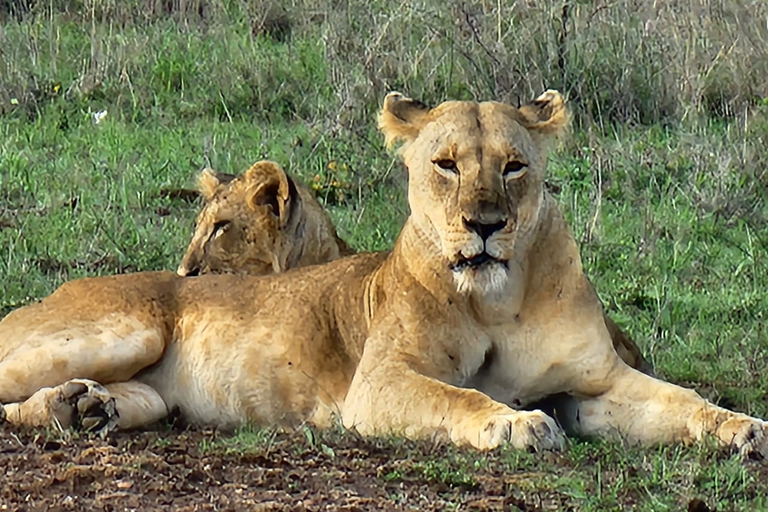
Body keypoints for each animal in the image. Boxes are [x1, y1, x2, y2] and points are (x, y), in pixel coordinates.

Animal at [3, 93, 764, 460]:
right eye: (446, 164)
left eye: (514, 166)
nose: (485, 224)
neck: (499, 300)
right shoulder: (379, 384)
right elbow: (459, 397)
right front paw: (515, 425)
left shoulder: (593, 385)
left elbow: (683, 400)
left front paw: (744, 429)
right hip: (121, 330)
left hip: (152, 395)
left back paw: (80, 410)